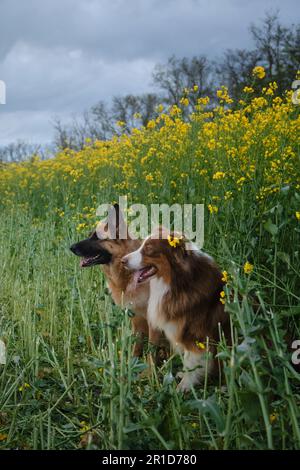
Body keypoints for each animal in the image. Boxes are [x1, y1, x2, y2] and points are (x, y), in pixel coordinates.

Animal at [69, 203, 164, 356]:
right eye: (89, 235)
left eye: (96, 237)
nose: (71, 247)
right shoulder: (136, 319)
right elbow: (136, 347)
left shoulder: (153, 324)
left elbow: (151, 352)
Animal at [122, 229, 230, 392]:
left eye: (149, 248)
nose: (122, 261)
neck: (178, 281)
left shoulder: (195, 335)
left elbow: (190, 360)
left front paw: (183, 386)